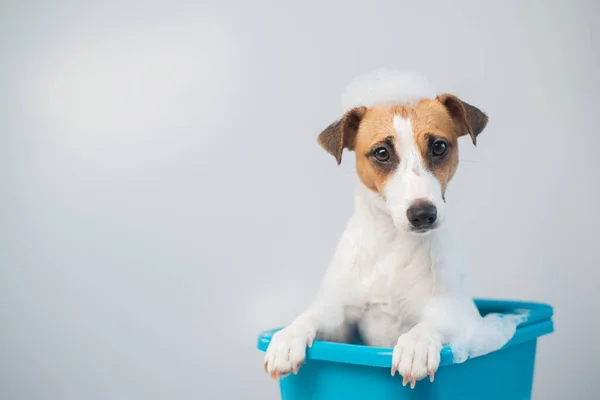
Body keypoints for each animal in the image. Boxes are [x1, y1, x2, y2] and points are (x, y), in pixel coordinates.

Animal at [262, 70, 496, 390]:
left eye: (439, 146)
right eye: (382, 152)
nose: (423, 215)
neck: (393, 245)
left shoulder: (459, 315)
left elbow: (434, 322)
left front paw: (416, 345)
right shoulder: (342, 324)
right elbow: (313, 315)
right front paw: (287, 337)